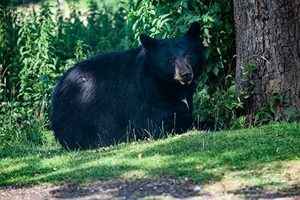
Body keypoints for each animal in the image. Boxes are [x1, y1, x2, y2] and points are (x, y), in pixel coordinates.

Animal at [51, 22, 206, 149]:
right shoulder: (146, 95)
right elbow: (157, 123)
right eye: (170, 60)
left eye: (188, 55)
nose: (186, 74)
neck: (168, 83)